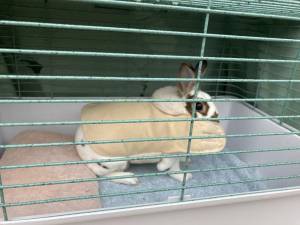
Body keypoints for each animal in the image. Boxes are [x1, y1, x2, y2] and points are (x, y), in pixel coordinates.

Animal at [75, 61, 225, 185]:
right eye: (199, 106)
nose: (217, 118)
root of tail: (79, 146)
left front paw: (184, 162)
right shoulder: (171, 149)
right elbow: (172, 166)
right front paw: (178, 174)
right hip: (115, 160)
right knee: (102, 175)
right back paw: (130, 179)